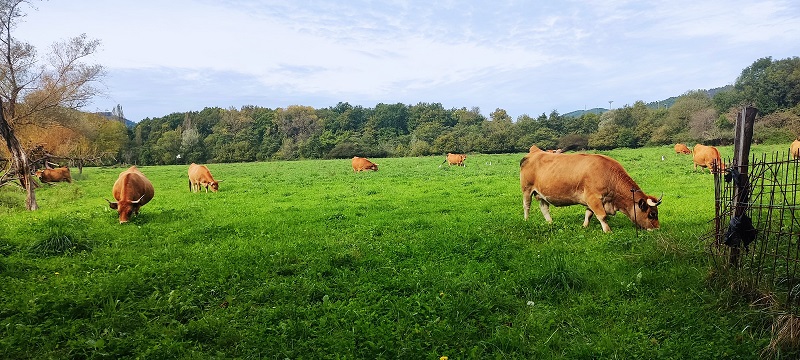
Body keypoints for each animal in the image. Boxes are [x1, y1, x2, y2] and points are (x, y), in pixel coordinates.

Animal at [520, 145, 664, 232]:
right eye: (652, 214)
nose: (658, 229)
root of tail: (535, 151)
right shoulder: (593, 197)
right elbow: (602, 216)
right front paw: (608, 231)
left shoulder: (590, 199)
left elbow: (588, 214)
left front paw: (584, 226)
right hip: (527, 189)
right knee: (526, 206)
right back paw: (526, 220)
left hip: (541, 194)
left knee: (544, 207)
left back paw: (550, 223)